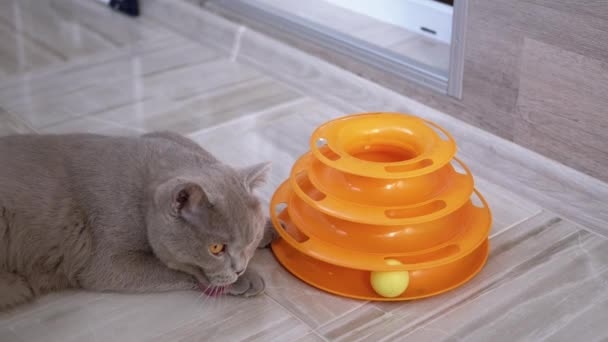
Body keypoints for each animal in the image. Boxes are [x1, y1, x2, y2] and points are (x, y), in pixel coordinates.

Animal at [0, 130, 278, 310]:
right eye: (216, 248)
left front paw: (273, 228)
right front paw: (244, 279)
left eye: (250, 241)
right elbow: (173, 268)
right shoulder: (107, 263)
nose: (239, 269)